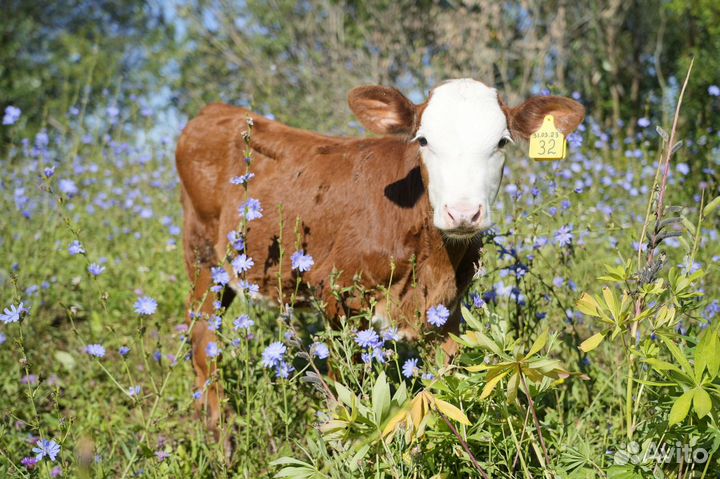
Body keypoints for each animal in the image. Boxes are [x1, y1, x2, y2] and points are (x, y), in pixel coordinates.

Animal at [176, 79, 584, 432]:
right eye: (423, 139)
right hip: (203, 256)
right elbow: (345, 390)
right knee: (203, 339)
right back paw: (219, 429)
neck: (434, 264)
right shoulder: (338, 298)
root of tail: (215, 110)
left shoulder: (448, 313)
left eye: (501, 142)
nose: (463, 213)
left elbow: (443, 386)